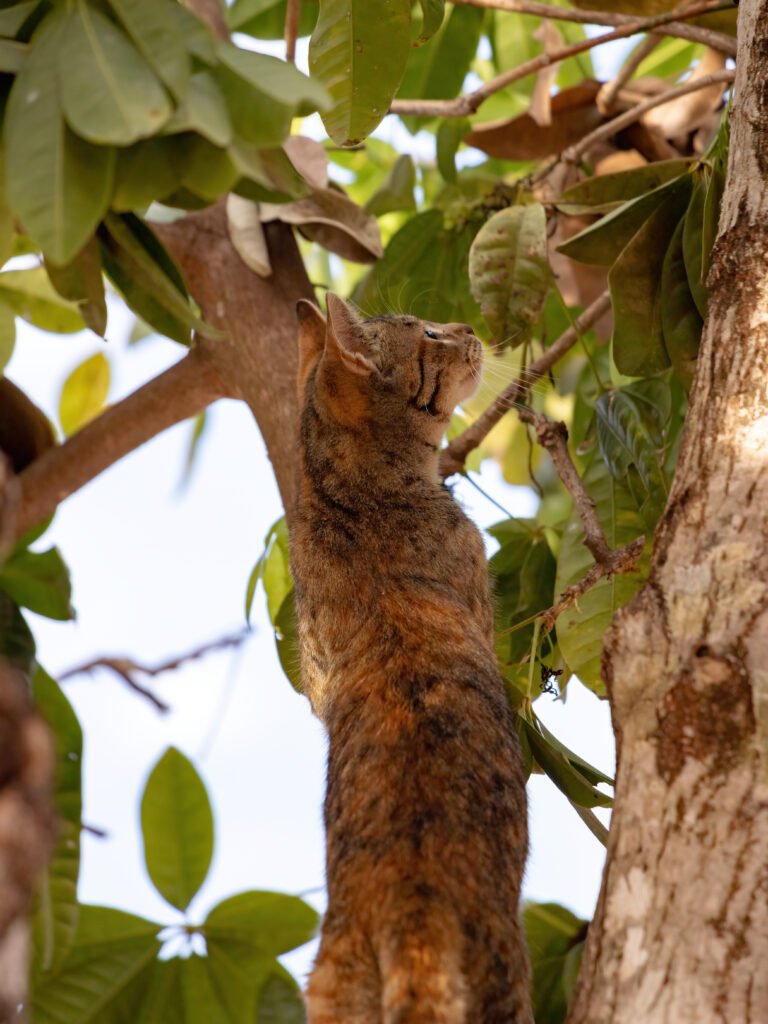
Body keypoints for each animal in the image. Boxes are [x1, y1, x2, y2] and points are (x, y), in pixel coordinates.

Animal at [290, 296, 532, 1024]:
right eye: (428, 334)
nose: (469, 328)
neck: (341, 495)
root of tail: (410, 906)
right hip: (504, 970)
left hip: (332, 988)